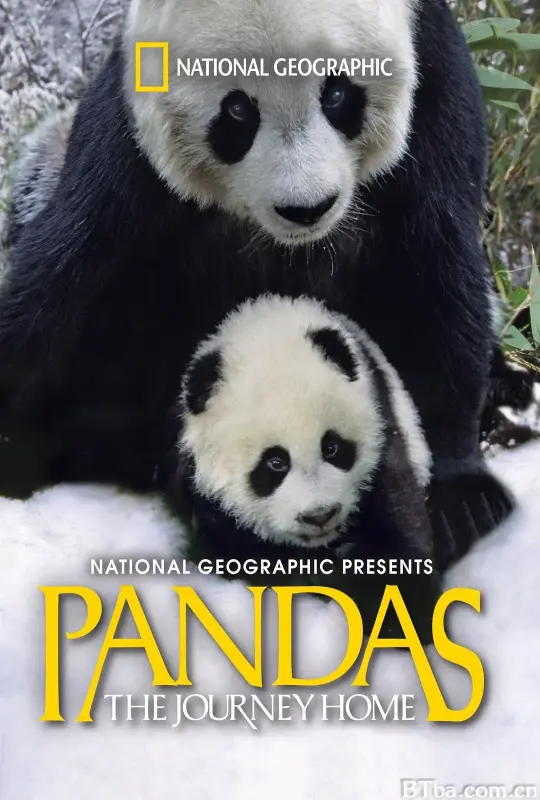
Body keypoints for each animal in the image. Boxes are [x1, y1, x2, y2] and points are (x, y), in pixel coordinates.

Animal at [0, 0, 514, 564]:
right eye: (238, 111)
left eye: (337, 92)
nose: (306, 208)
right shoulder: (129, 138)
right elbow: (66, 278)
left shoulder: (435, 91)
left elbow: (433, 273)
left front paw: (463, 497)